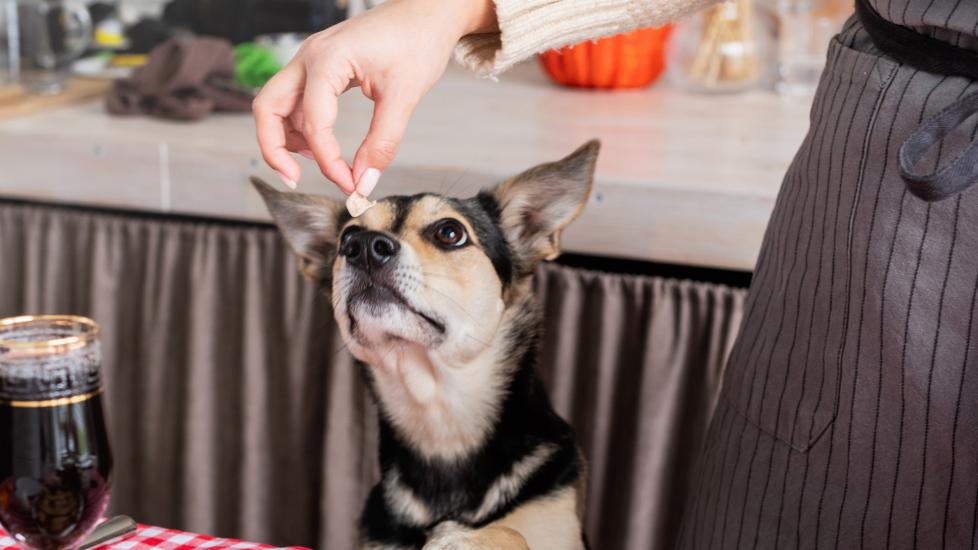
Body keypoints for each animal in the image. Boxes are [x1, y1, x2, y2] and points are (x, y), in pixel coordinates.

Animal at [252, 140, 600, 548]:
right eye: (345, 239)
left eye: (450, 233)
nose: (362, 246)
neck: (439, 416)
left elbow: (511, 531)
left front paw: (462, 537)